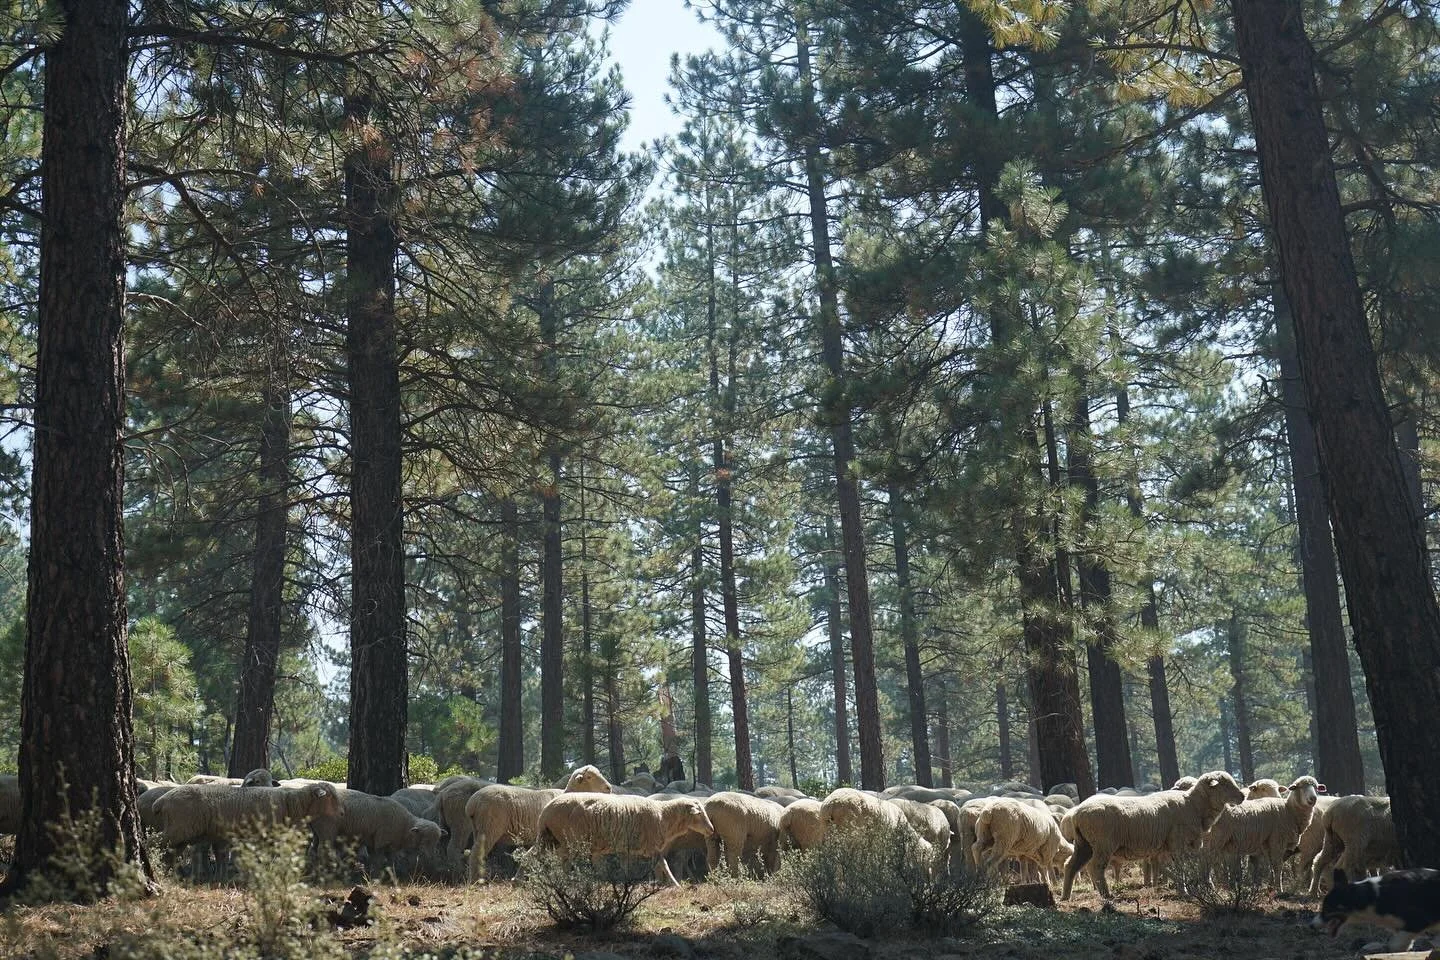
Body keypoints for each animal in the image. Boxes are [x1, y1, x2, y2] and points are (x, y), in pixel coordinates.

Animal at [535, 792, 715, 887]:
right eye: (699, 813)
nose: (711, 829)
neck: (663, 815)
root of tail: (545, 812)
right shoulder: (652, 846)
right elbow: (663, 864)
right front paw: (675, 884)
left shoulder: (631, 848)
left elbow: (632, 866)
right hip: (571, 840)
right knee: (564, 861)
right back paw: (568, 882)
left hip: (553, 839)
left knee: (551, 858)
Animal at [1062, 770, 1245, 900]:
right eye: (1224, 785)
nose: (1242, 796)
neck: (1194, 805)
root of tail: (1076, 813)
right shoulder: (1177, 842)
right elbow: (1181, 866)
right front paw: (1184, 891)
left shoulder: (1190, 844)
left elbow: (1197, 864)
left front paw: (1202, 886)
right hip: (1102, 843)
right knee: (1095, 867)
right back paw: (1106, 895)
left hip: (1083, 844)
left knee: (1070, 866)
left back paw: (1065, 896)